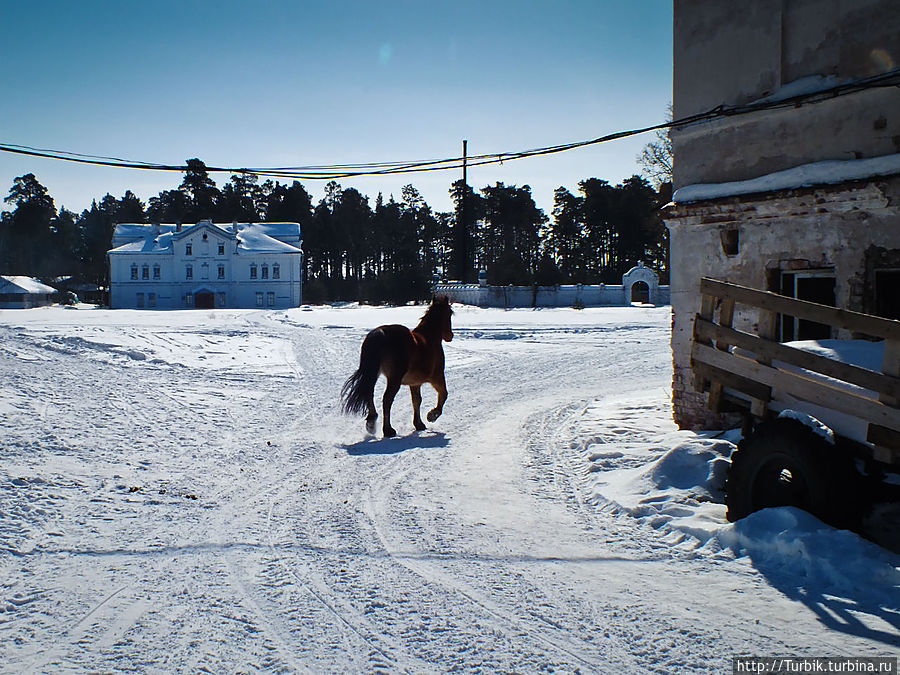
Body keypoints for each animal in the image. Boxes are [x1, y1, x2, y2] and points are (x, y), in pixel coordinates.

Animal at [342, 296, 454, 438]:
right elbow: (443, 394)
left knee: (369, 393)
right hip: (394, 379)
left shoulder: (415, 383)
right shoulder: (437, 377)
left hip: (374, 374)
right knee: (387, 399)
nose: (450, 336)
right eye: (449, 314)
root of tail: (379, 334)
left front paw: (419, 424)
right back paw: (388, 430)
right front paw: (432, 415)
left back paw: (371, 423)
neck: (430, 339)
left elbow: (416, 401)